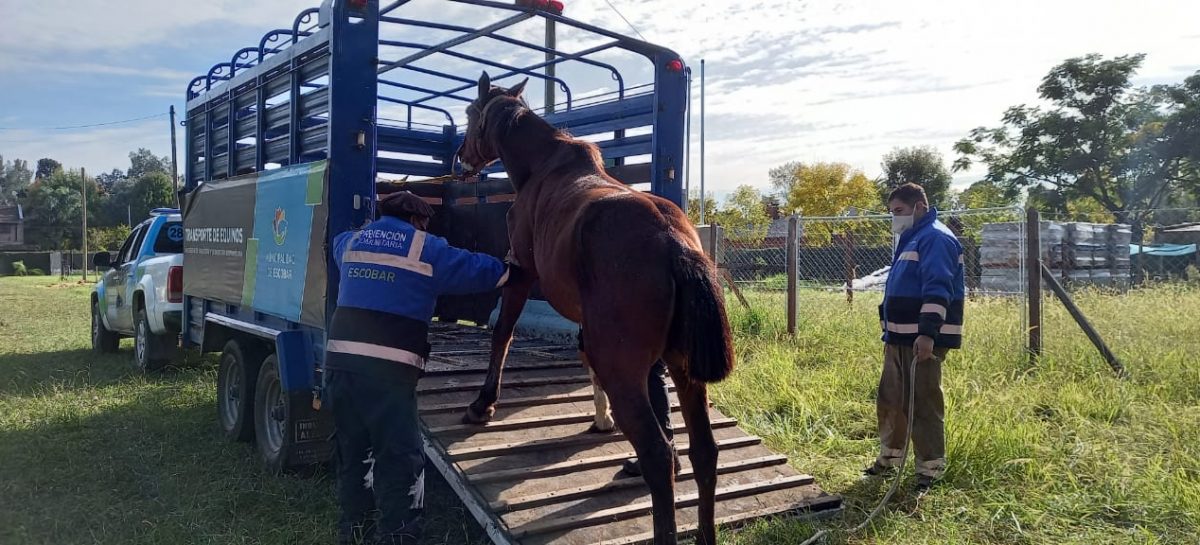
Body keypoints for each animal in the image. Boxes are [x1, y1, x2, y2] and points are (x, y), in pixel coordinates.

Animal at [456, 73, 729, 545]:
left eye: (473, 113)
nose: (461, 157)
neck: (543, 167)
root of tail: (675, 245)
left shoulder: (520, 272)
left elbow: (502, 333)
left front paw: (483, 403)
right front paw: (600, 419)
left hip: (628, 370)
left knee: (658, 455)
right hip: (684, 370)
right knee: (704, 452)